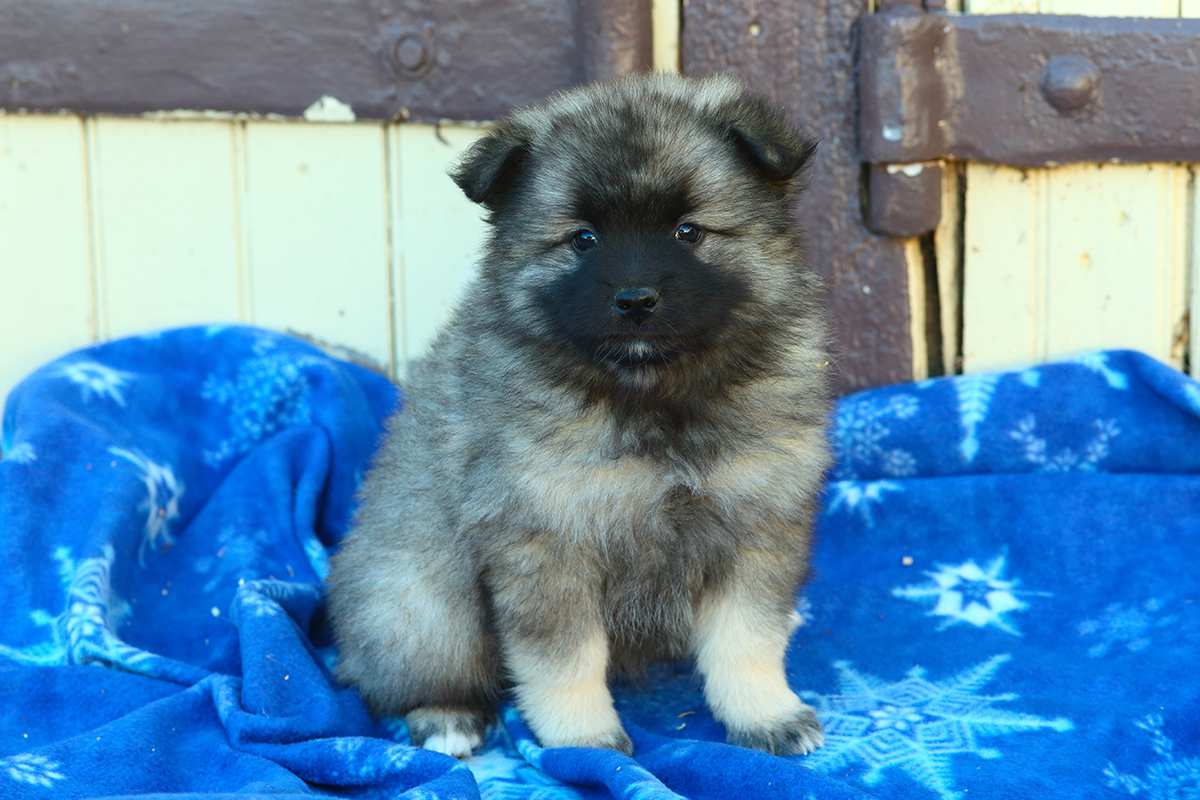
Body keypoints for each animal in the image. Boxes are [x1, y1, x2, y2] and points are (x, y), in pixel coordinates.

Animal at [328, 71, 835, 762]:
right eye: (583, 239)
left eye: (688, 232)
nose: (635, 300)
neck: (652, 397)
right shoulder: (548, 541)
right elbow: (564, 659)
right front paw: (583, 741)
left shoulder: (757, 527)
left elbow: (748, 640)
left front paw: (765, 714)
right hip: (424, 605)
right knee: (408, 673)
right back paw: (447, 719)